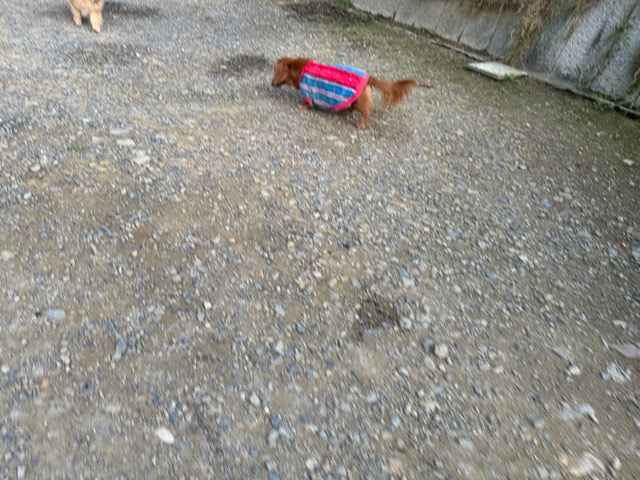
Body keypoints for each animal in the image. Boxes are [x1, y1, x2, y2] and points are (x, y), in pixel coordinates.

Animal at [271, 57, 429, 129]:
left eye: (275, 72)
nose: (271, 83)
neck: (301, 69)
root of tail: (368, 77)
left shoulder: (308, 91)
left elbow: (307, 101)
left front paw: (303, 106)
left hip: (359, 101)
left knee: (365, 111)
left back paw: (361, 124)